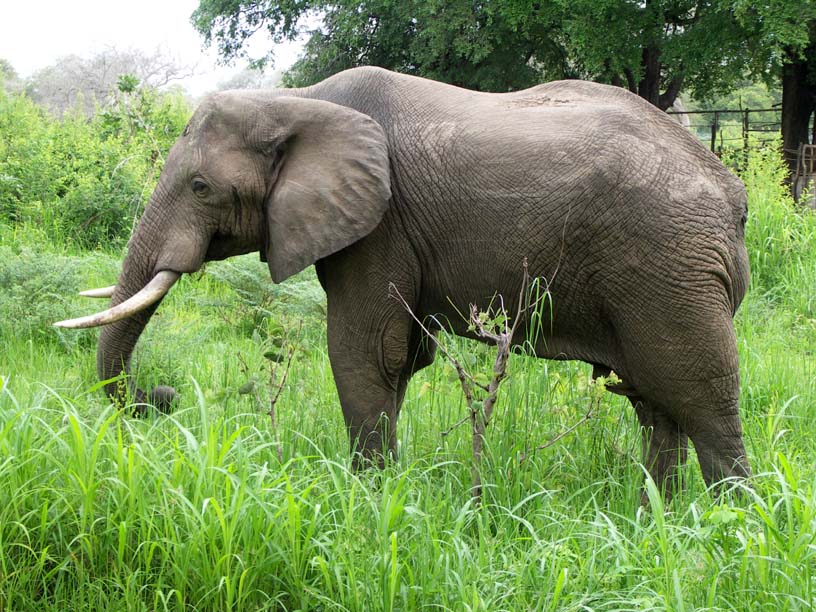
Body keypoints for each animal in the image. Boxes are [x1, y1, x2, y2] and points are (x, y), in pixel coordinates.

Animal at [57, 66, 751, 498]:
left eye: (201, 188)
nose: (163, 397)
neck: (295, 98)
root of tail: (734, 196)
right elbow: (399, 359)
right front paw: (386, 494)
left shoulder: (380, 225)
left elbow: (365, 353)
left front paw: (367, 501)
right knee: (654, 404)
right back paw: (658, 518)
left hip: (670, 268)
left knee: (700, 397)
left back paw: (724, 527)